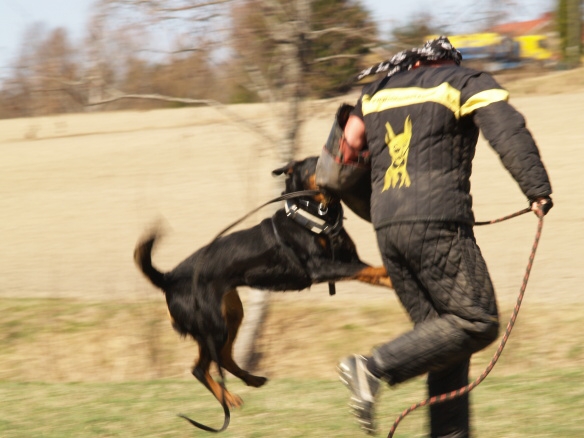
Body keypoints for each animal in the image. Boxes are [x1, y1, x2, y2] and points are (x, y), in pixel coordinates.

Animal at [134, 156, 390, 412]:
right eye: (316, 163)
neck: (316, 215)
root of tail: (168, 278)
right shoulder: (321, 267)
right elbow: (374, 269)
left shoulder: (350, 261)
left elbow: (373, 272)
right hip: (213, 326)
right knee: (199, 368)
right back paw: (229, 398)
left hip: (231, 315)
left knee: (224, 357)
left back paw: (252, 380)